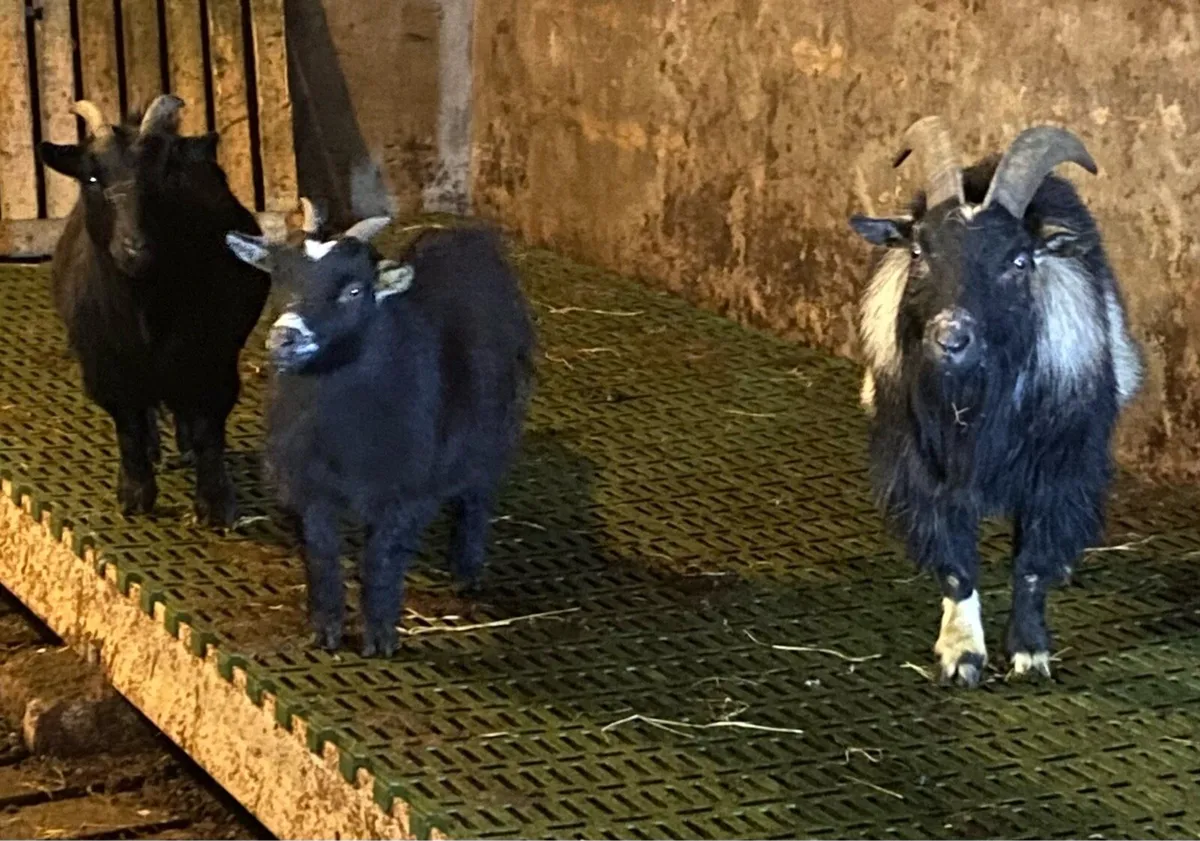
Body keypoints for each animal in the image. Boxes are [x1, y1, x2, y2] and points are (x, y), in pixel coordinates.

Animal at [39, 95, 270, 527]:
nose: (135, 248)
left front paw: (216, 505)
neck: (145, 315)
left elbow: (208, 430)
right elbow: (128, 428)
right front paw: (135, 495)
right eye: (91, 179)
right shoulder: (106, 372)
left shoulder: (214, 362)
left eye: (164, 176)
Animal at [226, 212, 536, 657]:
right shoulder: (309, 488)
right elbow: (321, 554)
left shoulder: (406, 492)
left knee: (477, 498)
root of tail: (463, 235)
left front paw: (380, 636)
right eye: (279, 279)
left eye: (354, 291)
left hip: (496, 431)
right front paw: (325, 631)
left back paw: (466, 571)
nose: (286, 337)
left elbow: (382, 558)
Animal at [850, 116, 1143, 686]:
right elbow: (956, 566)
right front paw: (962, 653)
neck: (975, 403)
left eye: (1020, 259)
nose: (951, 337)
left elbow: (1030, 564)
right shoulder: (923, 469)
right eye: (918, 252)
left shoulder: (1058, 470)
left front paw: (1029, 653)